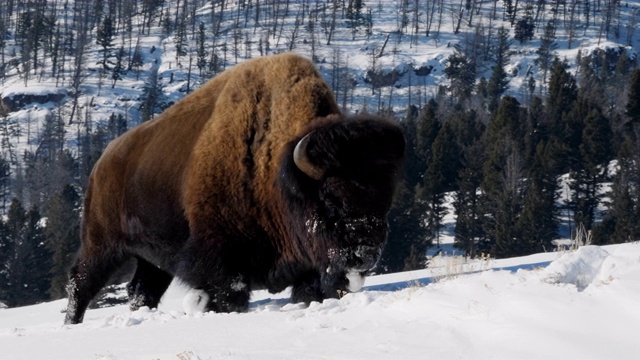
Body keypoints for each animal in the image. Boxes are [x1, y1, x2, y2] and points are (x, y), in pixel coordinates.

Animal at [65, 52, 404, 324]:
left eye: (386, 200)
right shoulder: (221, 262)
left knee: (141, 290)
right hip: (103, 244)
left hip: (152, 258)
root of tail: (101, 164)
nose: (365, 255)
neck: (277, 170)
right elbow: (229, 295)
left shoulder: (309, 268)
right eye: (331, 199)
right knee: (81, 283)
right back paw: (72, 323)